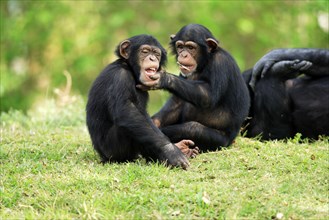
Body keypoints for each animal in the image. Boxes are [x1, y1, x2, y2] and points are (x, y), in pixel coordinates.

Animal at [85, 34, 197, 168]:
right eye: (145, 51)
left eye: (156, 54)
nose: (152, 58)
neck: (130, 68)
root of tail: (102, 156)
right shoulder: (120, 77)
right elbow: (127, 111)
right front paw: (171, 152)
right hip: (113, 152)